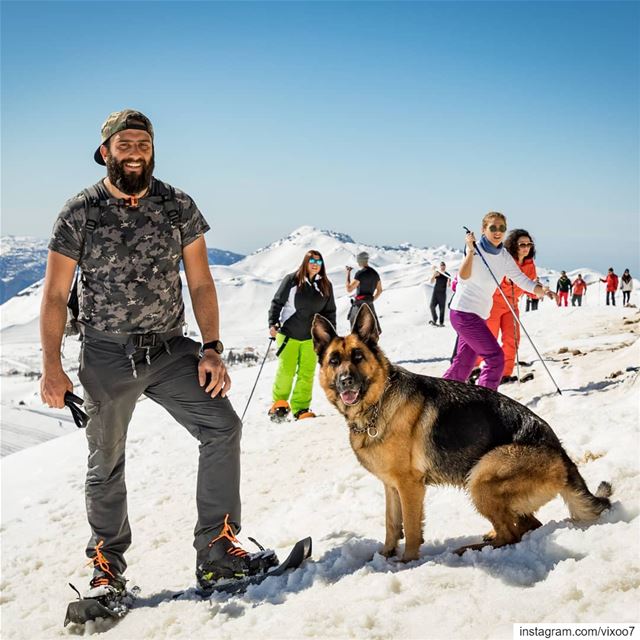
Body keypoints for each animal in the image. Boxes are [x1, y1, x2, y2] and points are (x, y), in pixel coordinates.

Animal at [312, 304, 612, 560]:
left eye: (358, 357)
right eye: (334, 361)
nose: (345, 381)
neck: (378, 402)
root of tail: (562, 454)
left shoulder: (410, 486)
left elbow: (411, 527)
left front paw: (407, 562)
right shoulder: (391, 486)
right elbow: (391, 523)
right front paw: (385, 555)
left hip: (481, 476)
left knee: (511, 534)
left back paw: (468, 549)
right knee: (527, 524)